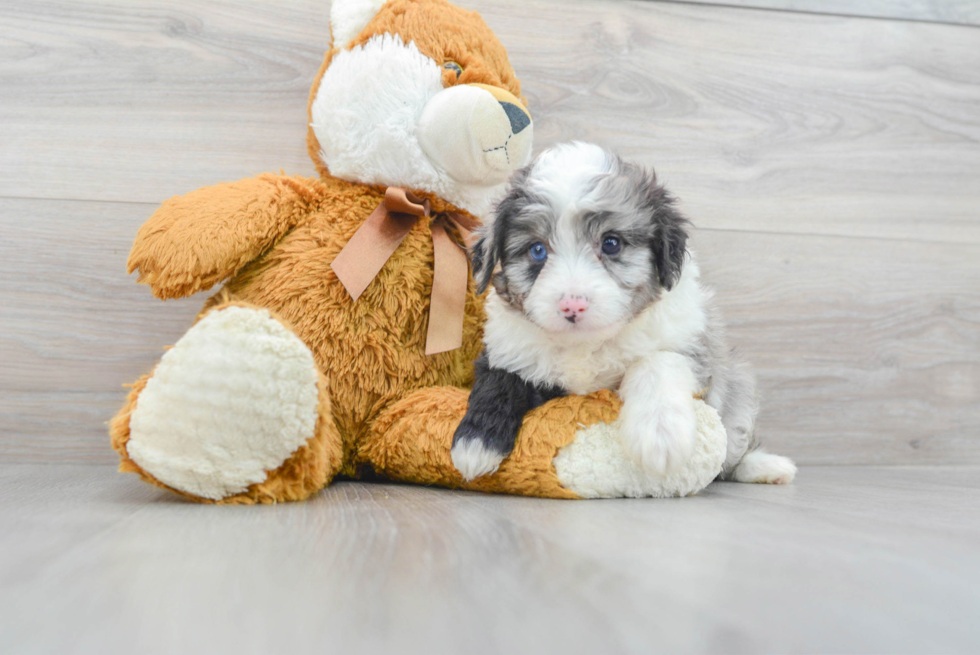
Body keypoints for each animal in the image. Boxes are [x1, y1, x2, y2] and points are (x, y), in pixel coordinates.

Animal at [452, 142, 796, 486]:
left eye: (611, 243)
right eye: (537, 250)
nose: (572, 306)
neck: (585, 346)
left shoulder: (689, 344)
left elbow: (656, 363)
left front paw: (660, 434)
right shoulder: (509, 347)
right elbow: (501, 379)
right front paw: (475, 444)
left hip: (738, 389)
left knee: (733, 450)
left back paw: (764, 467)